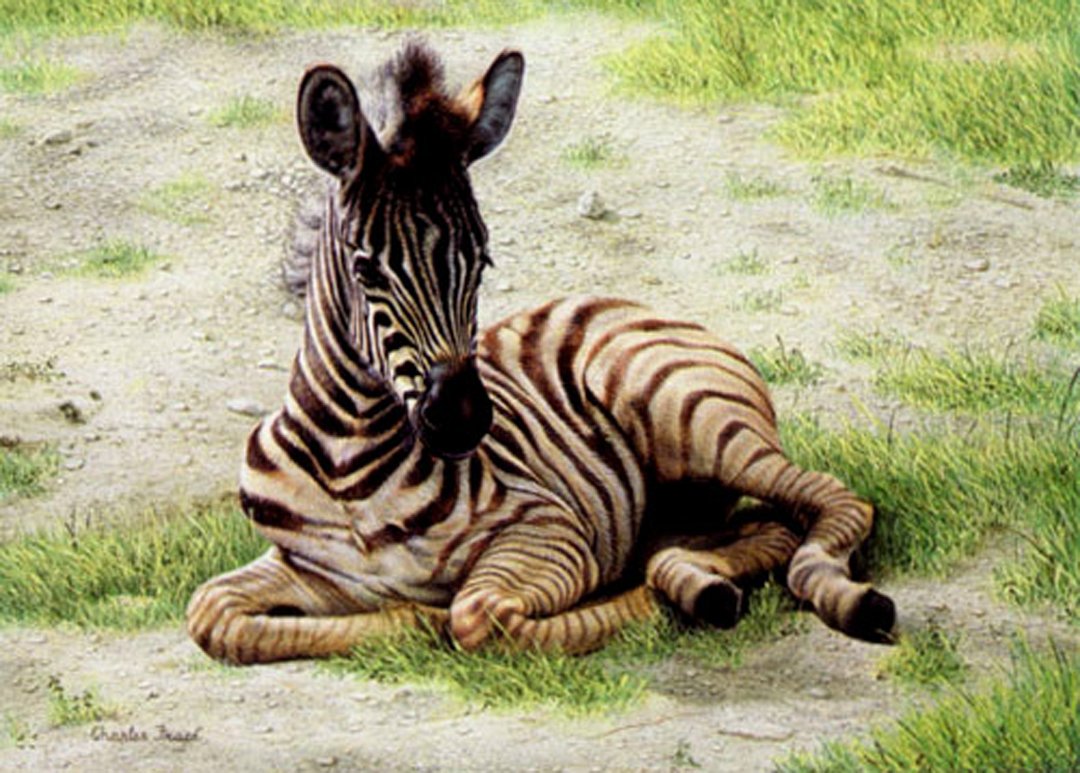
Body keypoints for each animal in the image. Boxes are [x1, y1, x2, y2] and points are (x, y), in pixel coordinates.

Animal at [187, 41, 896, 664]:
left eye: (482, 262)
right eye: (366, 270)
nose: (465, 419)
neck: (346, 465)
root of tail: (631, 304)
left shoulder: (550, 530)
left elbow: (480, 617)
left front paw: (429, 619)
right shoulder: (306, 567)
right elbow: (212, 614)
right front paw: (407, 620)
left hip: (695, 418)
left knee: (835, 501)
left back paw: (825, 597)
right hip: (688, 495)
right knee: (766, 527)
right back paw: (698, 580)